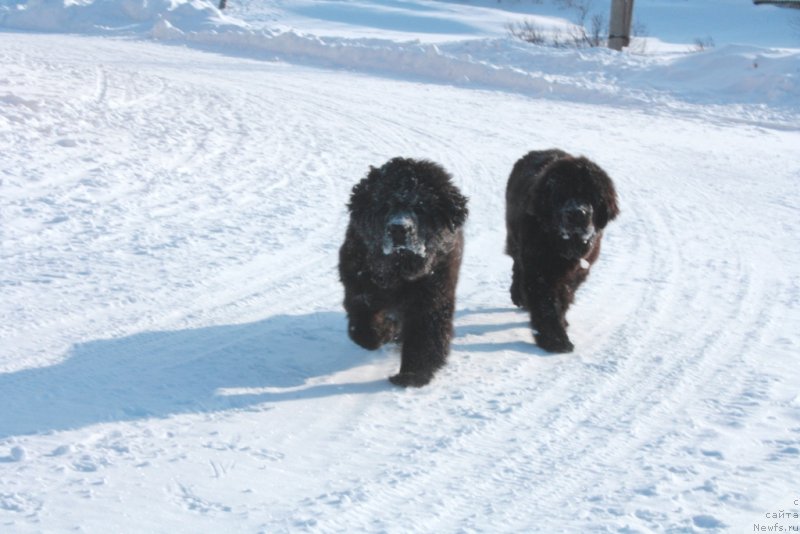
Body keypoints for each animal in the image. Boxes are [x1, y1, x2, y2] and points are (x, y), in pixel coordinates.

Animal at [338, 157, 468, 388]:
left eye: (421, 207)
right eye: (385, 205)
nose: (399, 228)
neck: (398, 270)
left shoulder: (431, 298)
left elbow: (424, 337)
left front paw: (412, 375)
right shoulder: (358, 288)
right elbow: (363, 331)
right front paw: (386, 331)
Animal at [506, 149, 620, 354]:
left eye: (591, 195)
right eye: (560, 194)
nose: (577, 213)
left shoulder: (579, 270)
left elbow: (565, 295)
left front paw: (562, 323)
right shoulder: (539, 269)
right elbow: (546, 303)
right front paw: (556, 340)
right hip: (514, 240)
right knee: (517, 266)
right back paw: (518, 295)